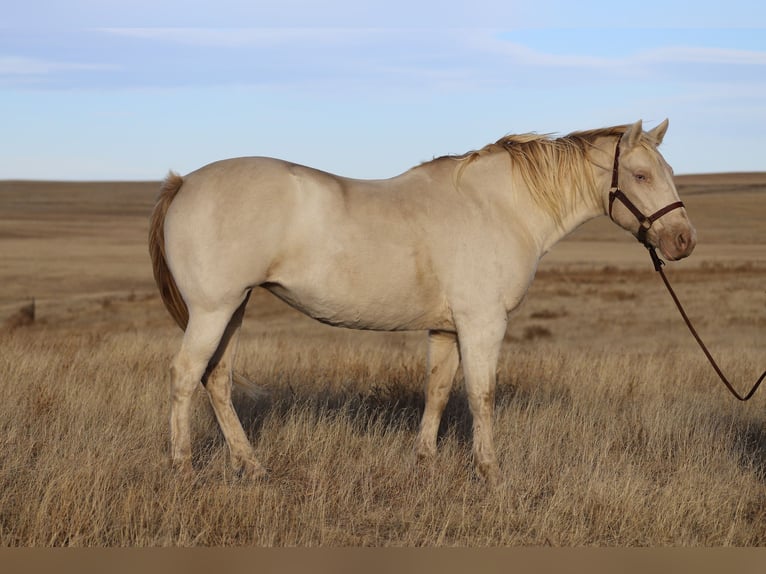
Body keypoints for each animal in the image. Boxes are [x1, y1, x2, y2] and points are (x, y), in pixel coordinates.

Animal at [148, 120, 696, 486]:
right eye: (641, 175)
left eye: (669, 170)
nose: (683, 240)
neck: (499, 207)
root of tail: (185, 183)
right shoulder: (482, 324)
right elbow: (481, 395)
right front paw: (490, 472)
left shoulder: (447, 328)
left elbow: (437, 391)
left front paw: (425, 462)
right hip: (213, 311)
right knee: (183, 377)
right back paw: (182, 467)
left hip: (234, 309)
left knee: (217, 380)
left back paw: (252, 465)